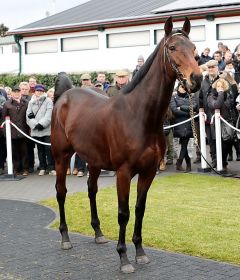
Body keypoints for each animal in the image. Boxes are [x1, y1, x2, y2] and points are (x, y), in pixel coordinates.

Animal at [51, 17, 202, 274]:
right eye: (172, 48)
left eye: (193, 49)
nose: (197, 79)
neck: (139, 115)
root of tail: (64, 96)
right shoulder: (123, 173)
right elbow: (124, 212)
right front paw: (123, 258)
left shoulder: (148, 172)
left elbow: (140, 209)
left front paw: (140, 252)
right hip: (61, 157)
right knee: (61, 192)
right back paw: (65, 238)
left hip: (94, 161)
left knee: (91, 190)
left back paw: (98, 233)